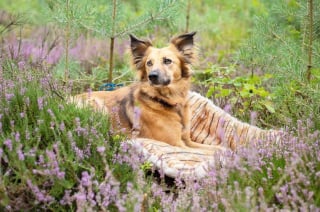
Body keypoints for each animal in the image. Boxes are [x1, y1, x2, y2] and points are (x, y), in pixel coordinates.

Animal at [74, 31, 224, 152]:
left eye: (167, 61)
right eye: (149, 63)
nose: (152, 76)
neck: (166, 101)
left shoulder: (188, 141)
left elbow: (216, 149)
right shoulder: (177, 144)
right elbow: (210, 154)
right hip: (97, 106)